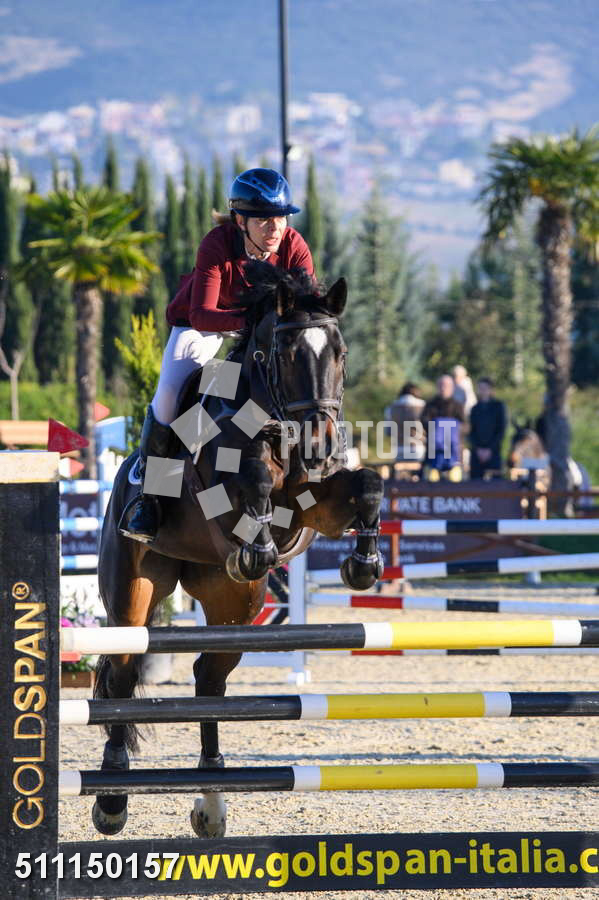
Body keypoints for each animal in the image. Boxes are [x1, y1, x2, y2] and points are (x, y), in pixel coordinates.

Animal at [93, 262, 384, 839]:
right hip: (133, 588)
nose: (320, 443)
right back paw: (112, 799)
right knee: (121, 673)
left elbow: (367, 484)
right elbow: (254, 480)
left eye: (340, 353)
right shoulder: (231, 491)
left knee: (210, 676)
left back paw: (211, 800)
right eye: (286, 354)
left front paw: (363, 565)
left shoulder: (317, 505)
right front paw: (257, 543)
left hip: (235, 603)